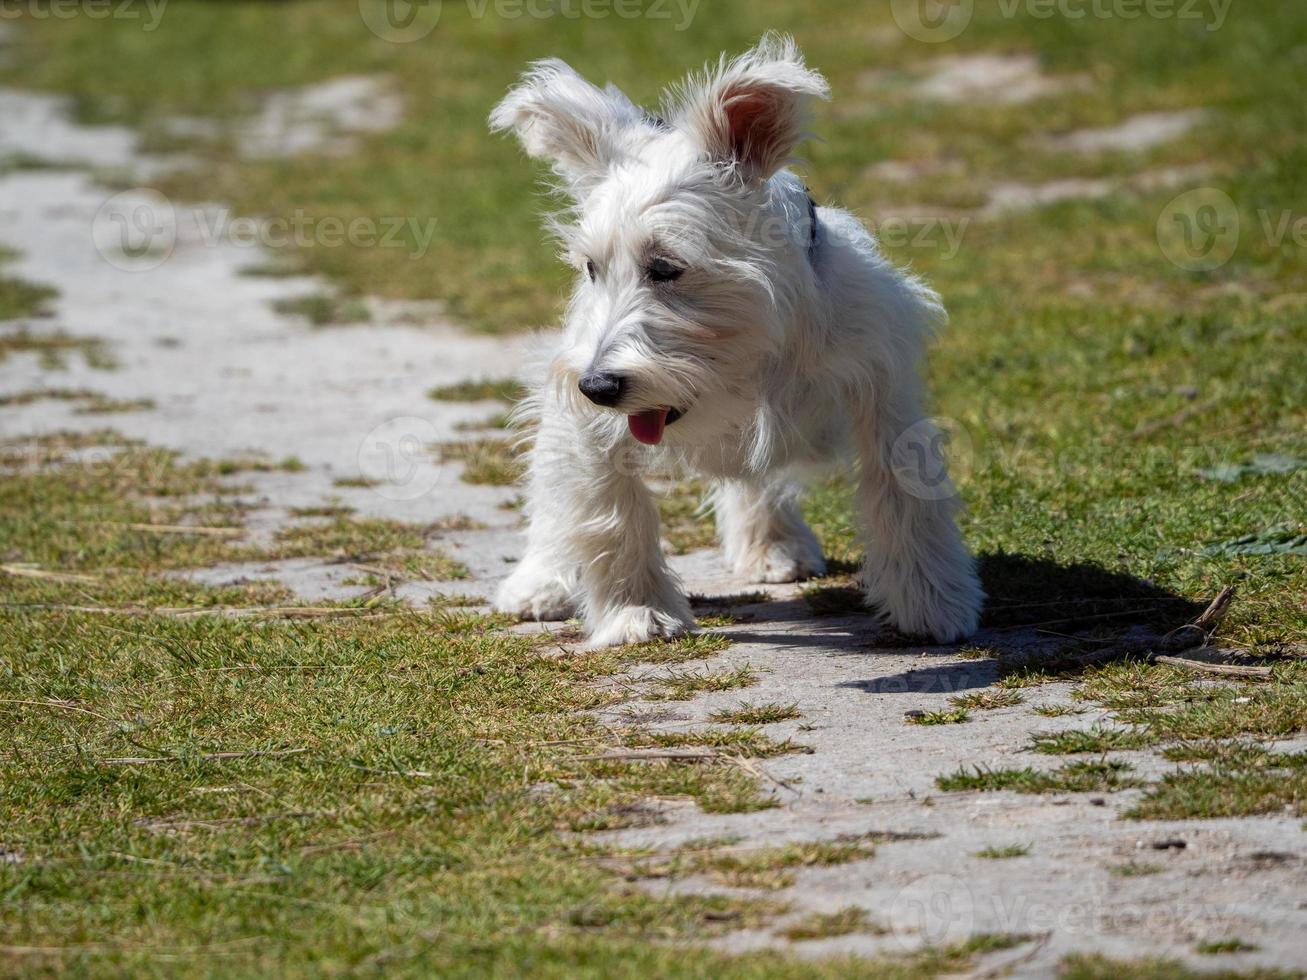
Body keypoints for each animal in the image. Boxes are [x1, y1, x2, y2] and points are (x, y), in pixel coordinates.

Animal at [491, 34, 982, 653]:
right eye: (591, 268)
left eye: (665, 267)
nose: (598, 386)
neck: (742, 357)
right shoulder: (580, 410)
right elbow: (609, 514)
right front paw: (637, 613)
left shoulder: (880, 382)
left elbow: (904, 491)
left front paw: (933, 603)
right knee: (556, 493)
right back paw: (540, 583)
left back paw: (773, 548)